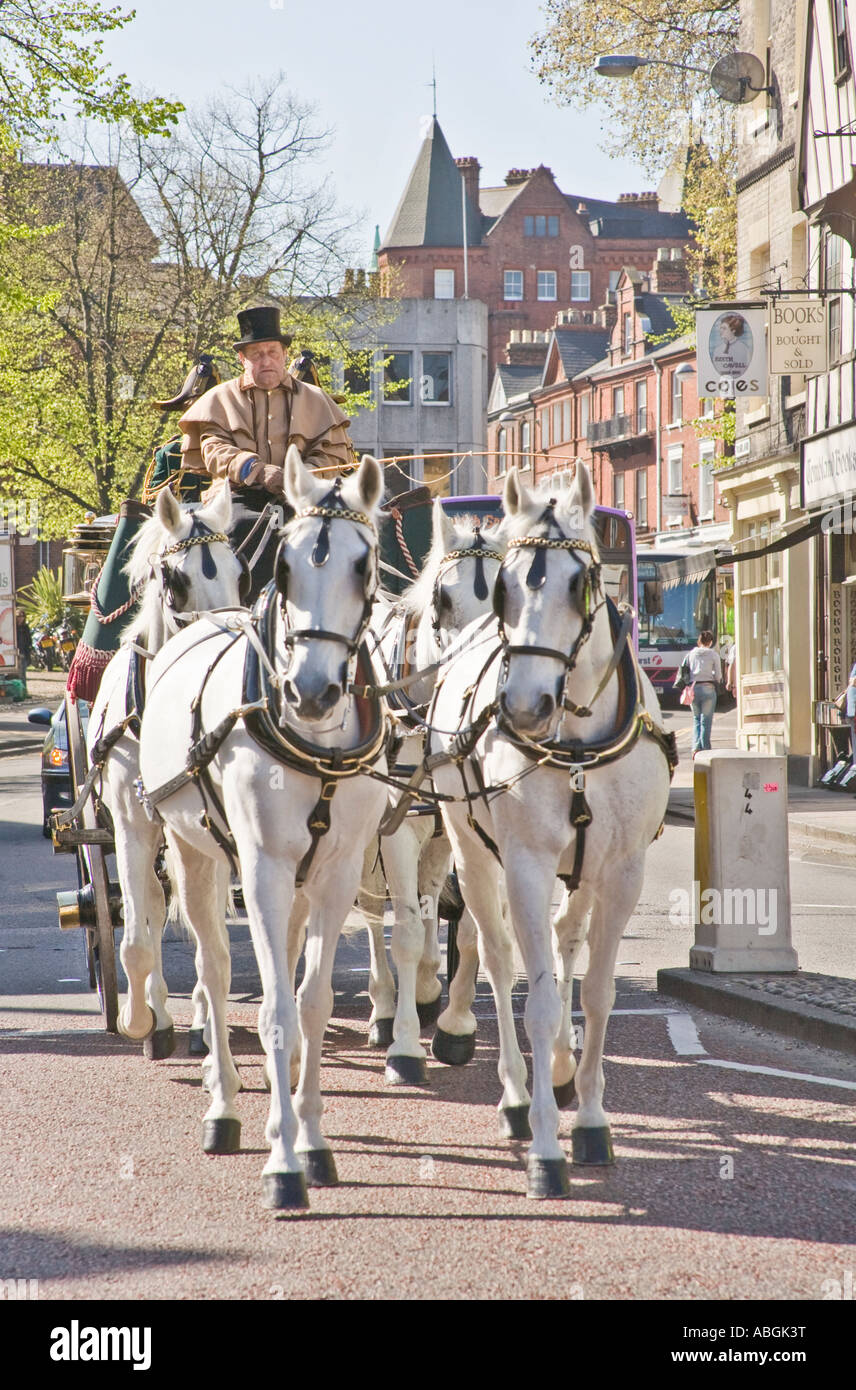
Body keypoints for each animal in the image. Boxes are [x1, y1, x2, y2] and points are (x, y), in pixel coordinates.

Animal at [86, 489, 247, 1050]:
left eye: (240, 572)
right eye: (176, 580)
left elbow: (202, 922)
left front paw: (195, 1015)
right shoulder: (131, 823)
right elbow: (139, 930)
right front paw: (142, 1019)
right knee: (159, 904)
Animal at [139, 450, 389, 1212]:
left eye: (365, 564)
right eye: (283, 566)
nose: (312, 692)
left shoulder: (336, 872)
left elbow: (311, 1002)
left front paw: (311, 1140)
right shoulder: (263, 866)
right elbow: (273, 1005)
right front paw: (281, 1162)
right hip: (195, 855)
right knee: (215, 971)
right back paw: (222, 1106)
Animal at [352, 500, 505, 1084]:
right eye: (444, 600)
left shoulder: (463, 830)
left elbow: (467, 929)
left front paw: (454, 1027)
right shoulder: (396, 830)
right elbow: (408, 931)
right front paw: (404, 1049)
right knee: (375, 912)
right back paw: (383, 1009)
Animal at [428, 464, 675, 1195]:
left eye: (580, 583)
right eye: (506, 588)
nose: (525, 706)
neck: (577, 742)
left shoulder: (621, 869)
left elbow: (596, 993)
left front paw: (590, 1117)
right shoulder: (528, 864)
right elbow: (531, 995)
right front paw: (543, 1145)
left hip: (581, 868)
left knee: (564, 941)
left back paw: (561, 1068)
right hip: (471, 849)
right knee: (492, 950)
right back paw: (514, 1093)